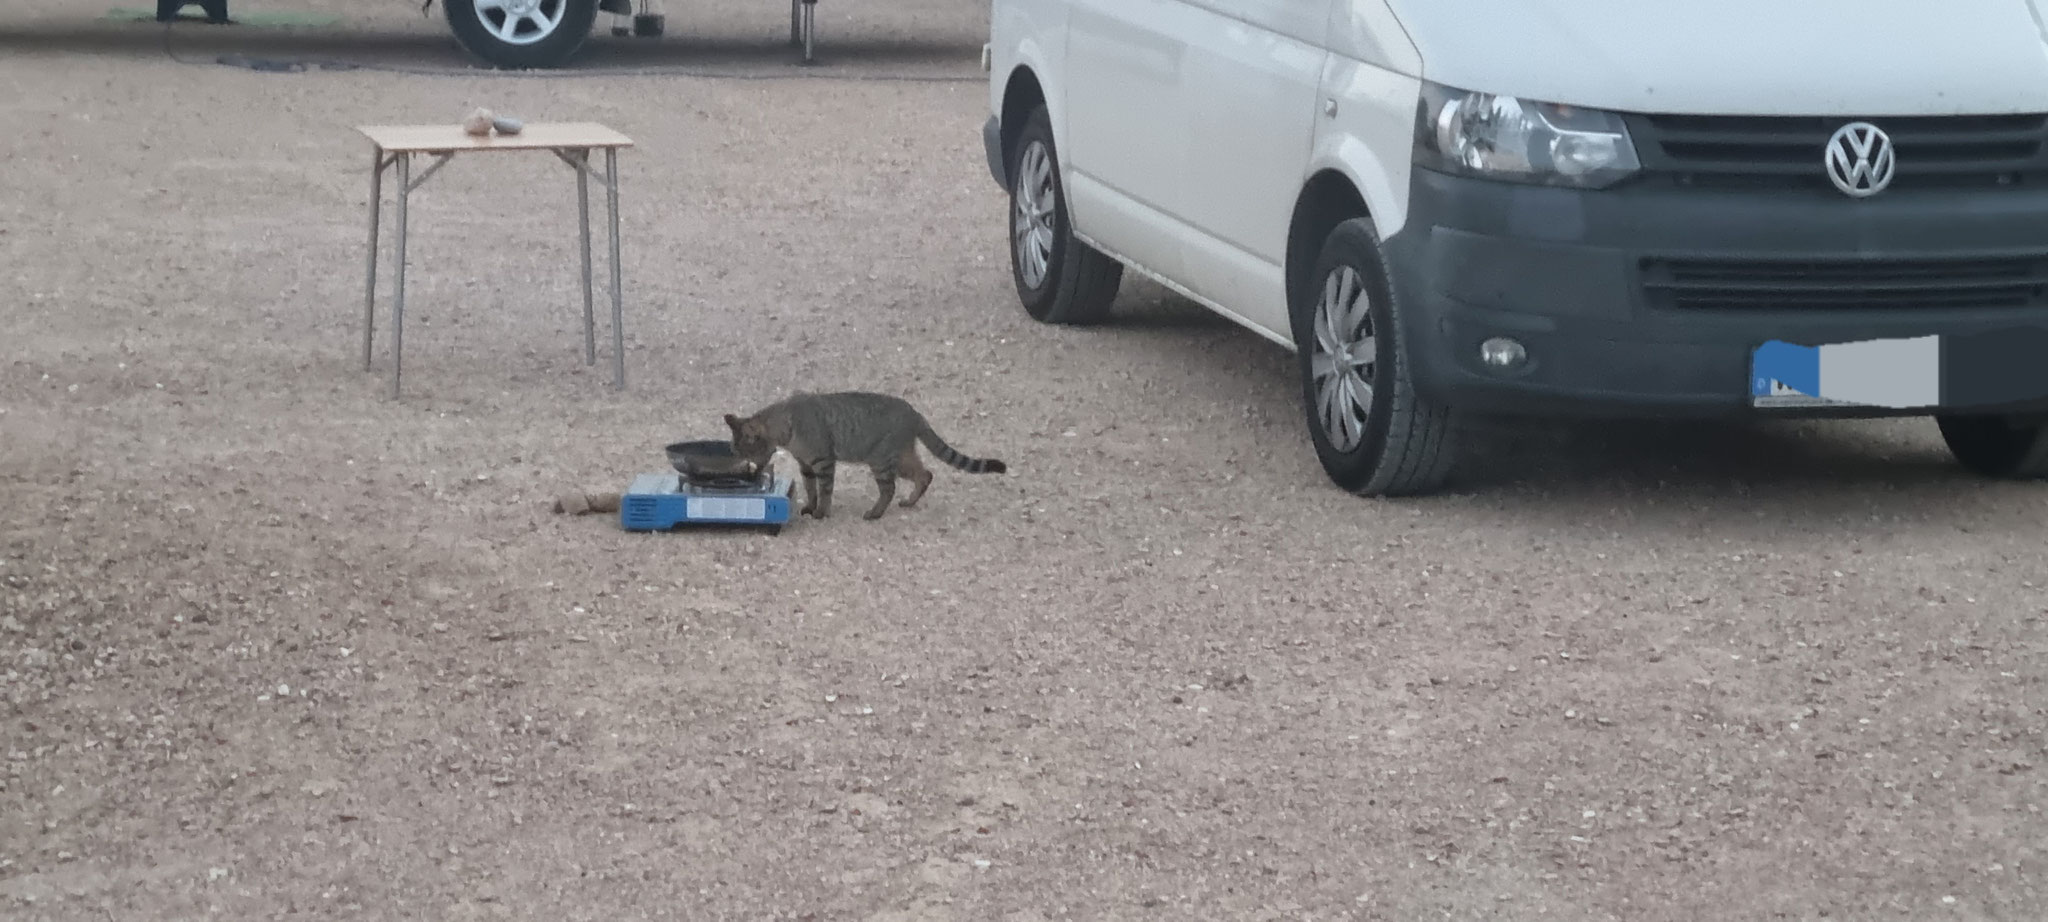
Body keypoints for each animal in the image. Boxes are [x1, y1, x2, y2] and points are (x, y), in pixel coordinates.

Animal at [729, 389, 1007, 518]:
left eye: (749, 455)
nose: (752, 472)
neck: (788, 423)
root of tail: (915, 414)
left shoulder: (823, 461)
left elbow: (825, 490)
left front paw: (821, 512)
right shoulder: (805, 465)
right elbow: (810, 488)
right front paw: (810, 506)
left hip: (881, 460)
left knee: (890, 488)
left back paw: (875, 513)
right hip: (901, 457)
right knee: (925, 474)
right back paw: (909, 501)